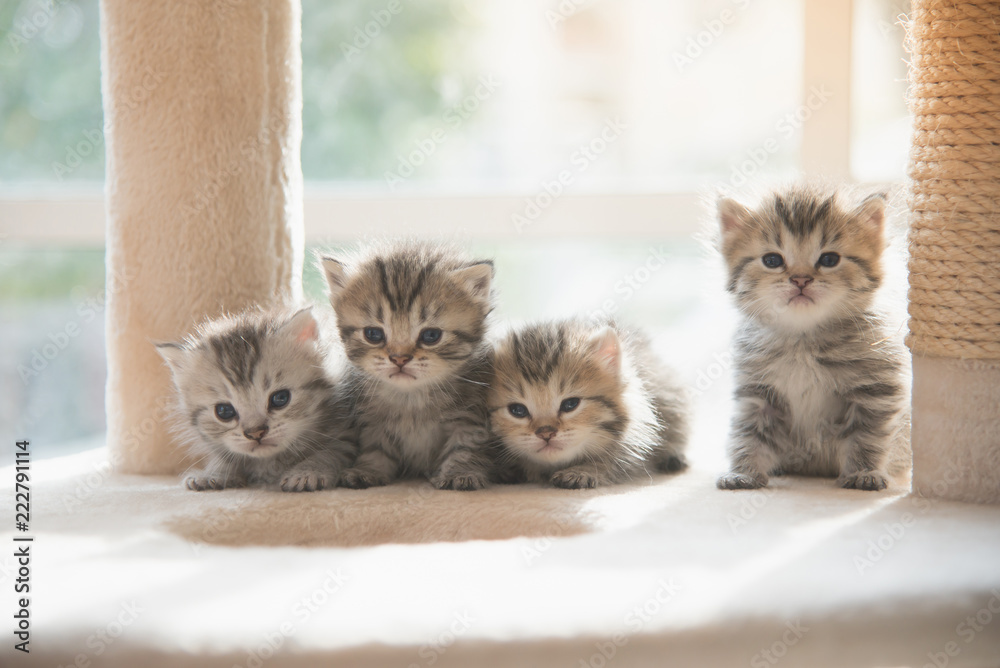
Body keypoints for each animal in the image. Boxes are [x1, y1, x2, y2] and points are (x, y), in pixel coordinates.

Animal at [154, 308, 358, 490]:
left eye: (280, 398)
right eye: (224, 411)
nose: (256, 433)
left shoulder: (347, 433)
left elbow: (330, 452)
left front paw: (308, 472)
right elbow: (226, 457)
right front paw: (214, 473)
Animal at [322, 240, 498, 490]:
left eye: (431, 335)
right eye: (373, 334)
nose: (399, 359)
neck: (411, 399)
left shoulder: (470, 418)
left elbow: (464, 448)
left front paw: (460, 473)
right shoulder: (373, 421)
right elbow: (376, 448)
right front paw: (368, 470)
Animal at [716, 187, 912, 490]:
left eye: (829, 260)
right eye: (772, 260)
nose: (800, 279)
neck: (803, 339)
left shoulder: (875, 391)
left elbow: (867, 435)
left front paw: (863, 472)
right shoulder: (757, 394)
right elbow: (748, 436)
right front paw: (744, 472)